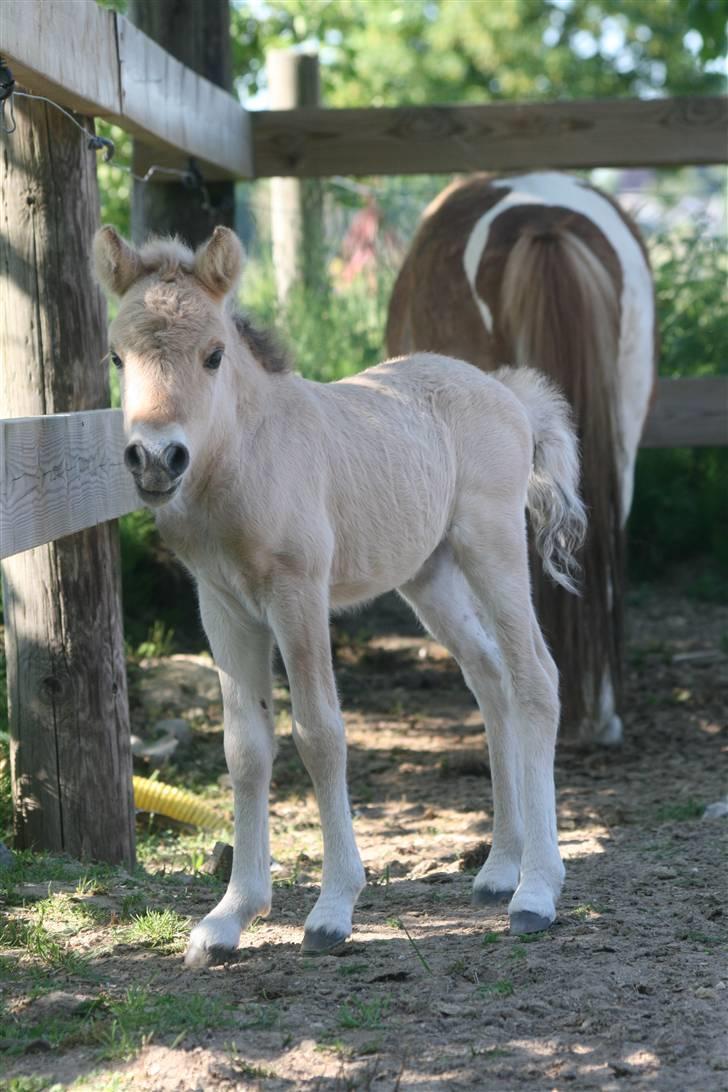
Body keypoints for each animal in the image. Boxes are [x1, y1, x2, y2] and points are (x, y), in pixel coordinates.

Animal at [95, 226, 585, 960]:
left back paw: (536, 890)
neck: (245, 457)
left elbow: (319, 733)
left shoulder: (297, 595)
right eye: (116, 356)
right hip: (429, 576)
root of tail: (506, 391)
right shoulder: (223, 609)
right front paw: (230, 916)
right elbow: (245, 748)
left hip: (491, 548)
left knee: (535, 678)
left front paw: (332, 909)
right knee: (490, 678)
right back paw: (500, 868)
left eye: (213, 355)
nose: (156, 459)